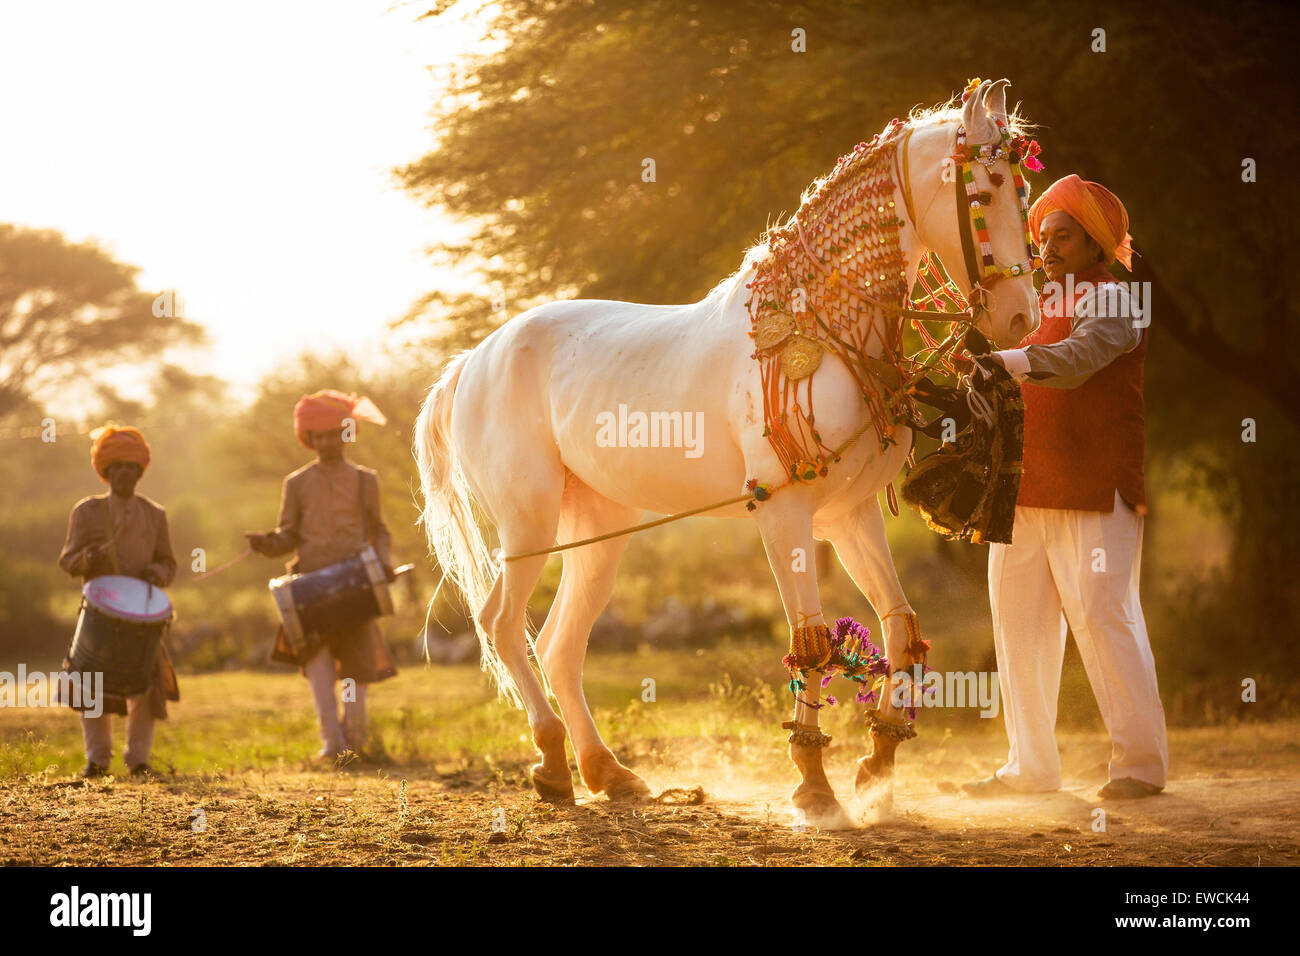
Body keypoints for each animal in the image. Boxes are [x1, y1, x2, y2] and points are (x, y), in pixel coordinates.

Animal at [416, 79, 1041, 828]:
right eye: (987, 187)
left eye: (1021, 187)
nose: (1021, 319)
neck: (814, 328)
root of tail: (474, 361)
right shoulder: (784, 515)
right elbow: (813, 641)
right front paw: (814, 785)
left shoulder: (849, 515)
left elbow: (900, 626)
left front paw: (879, 764)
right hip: (528, 526)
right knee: (504, 626)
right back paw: (553, 764)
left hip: (600, 532)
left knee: (558, 646)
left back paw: (607, 771)